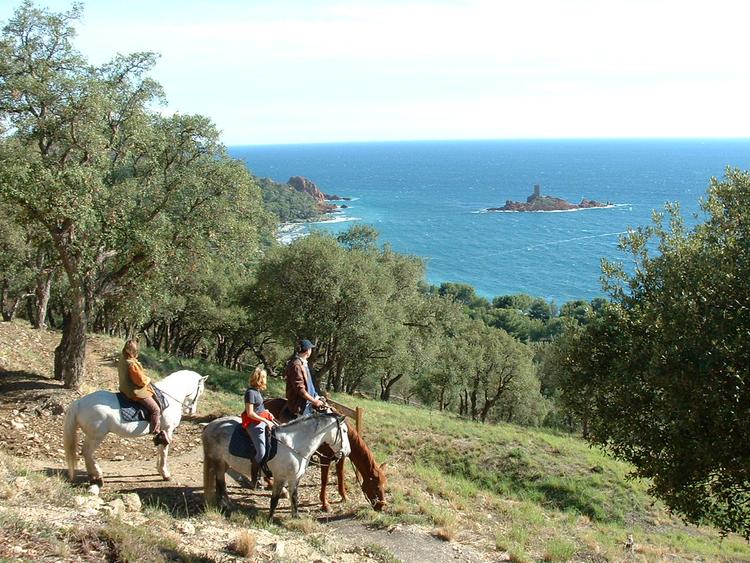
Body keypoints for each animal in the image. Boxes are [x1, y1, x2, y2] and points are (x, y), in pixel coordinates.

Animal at [63, 370, 208, 489]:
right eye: (200, 390)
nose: (192, 411)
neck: (169, 397)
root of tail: (79, 403)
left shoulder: (161, 433)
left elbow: (159, 449)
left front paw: (159, 470)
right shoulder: (167, 430)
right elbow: (164, 452)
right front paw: (165, 474)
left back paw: (93, 477)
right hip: (96, 436)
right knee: (87, 452)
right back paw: (97, 477)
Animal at [202, 411, 351, 518]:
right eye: (344, 431)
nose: (347, 452)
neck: (294, 445)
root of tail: (210, 425)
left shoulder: (294, 478)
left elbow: (294, 498)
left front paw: (296, 517)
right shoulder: (280, 478)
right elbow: (274, 500)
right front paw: (270, 519)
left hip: (225, 463)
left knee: (220, 482)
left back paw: (225, 504)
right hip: (218, 461)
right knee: (221, 482)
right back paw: (226, 505)